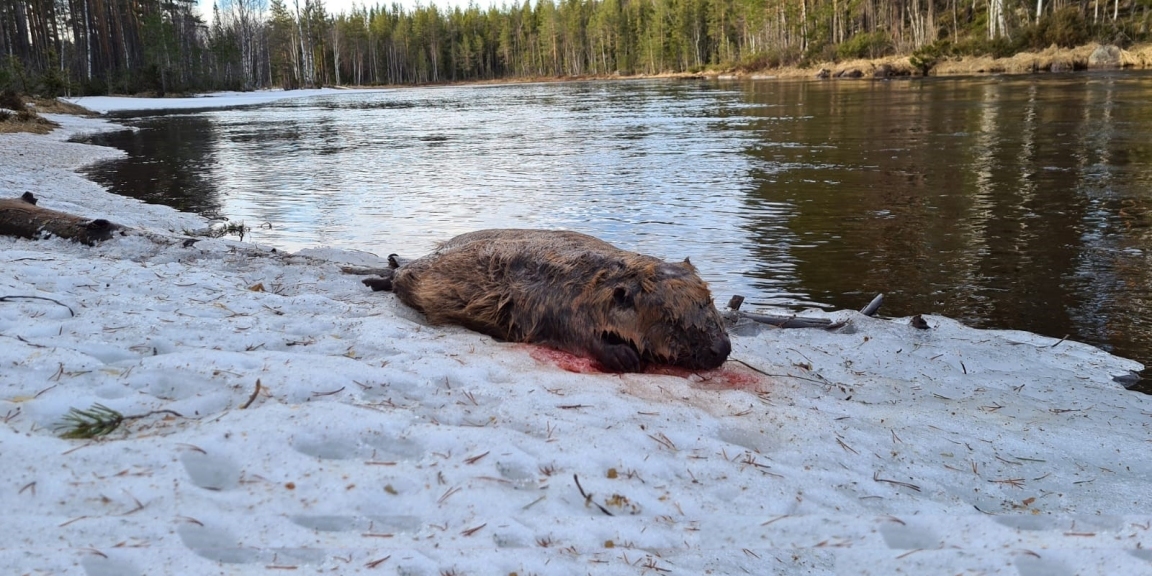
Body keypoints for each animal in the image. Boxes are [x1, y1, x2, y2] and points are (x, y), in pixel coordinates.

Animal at [364, 226, 732, 370]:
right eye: (670, 318)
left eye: (710, 302)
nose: (722, 349)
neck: (599, 281)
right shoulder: (554, 302)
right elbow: (573, 335)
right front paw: (626, 357)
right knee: (401, 277)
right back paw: (380, 274)